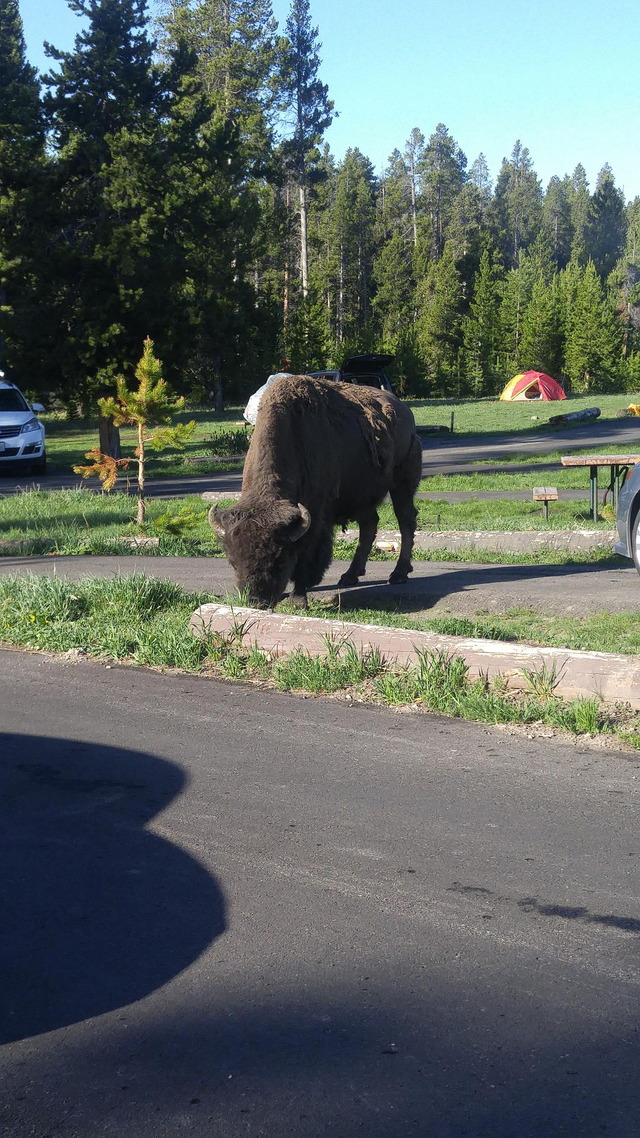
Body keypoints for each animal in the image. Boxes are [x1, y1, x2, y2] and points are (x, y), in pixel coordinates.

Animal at [207, 375, 421, 609]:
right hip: (361, 496)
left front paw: (298, 600)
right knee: (369, 525)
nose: (256, 601)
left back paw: (398, 574)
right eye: (232, 560)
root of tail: (404, 411)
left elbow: (306, 558)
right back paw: (350, 576)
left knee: (405, 520)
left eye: (280, 559)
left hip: (402, 483)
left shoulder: (315, 519)